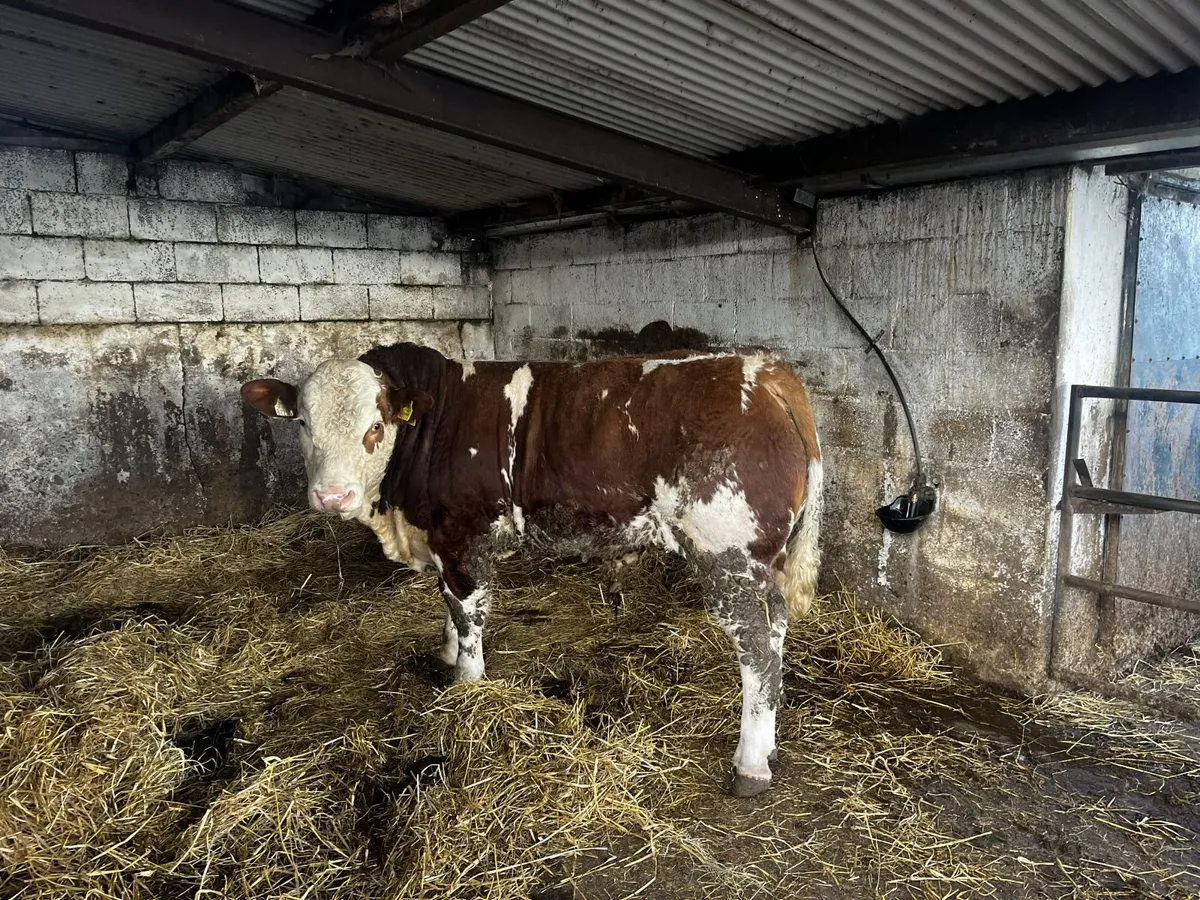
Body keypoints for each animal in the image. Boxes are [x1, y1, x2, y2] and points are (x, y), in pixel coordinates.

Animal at [241, 342, 822, 797]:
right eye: (302, 423)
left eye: (376, 426)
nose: (331, 496)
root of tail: (768, 370)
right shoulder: (443, 541)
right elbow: (447, 603)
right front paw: (445, 653)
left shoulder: (464, 535)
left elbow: (468, 611)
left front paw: (467, 685)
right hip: (764, 563)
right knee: (776, 629)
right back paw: (769, 746)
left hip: (726, 556)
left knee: (757, 652)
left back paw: (750, 765)